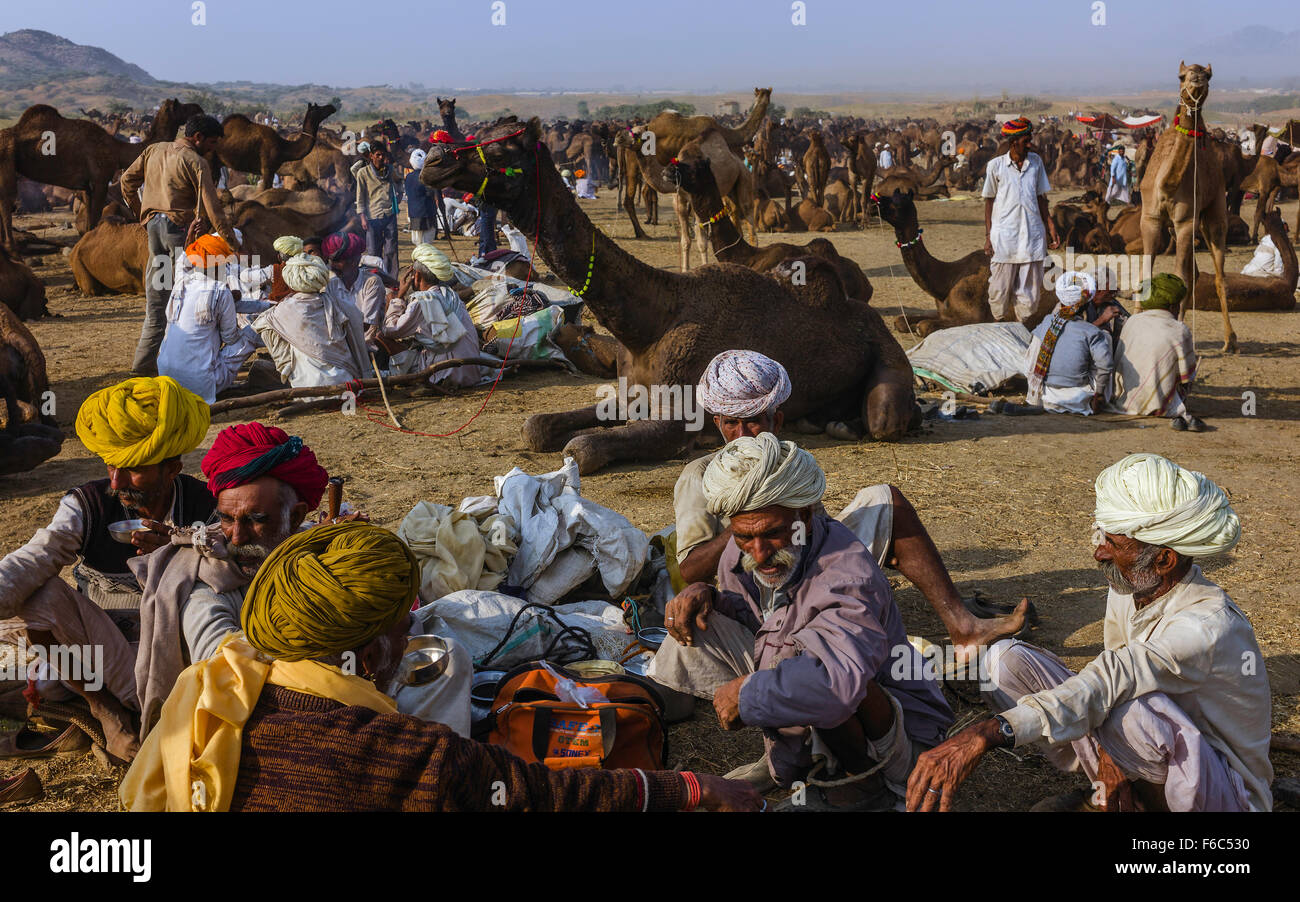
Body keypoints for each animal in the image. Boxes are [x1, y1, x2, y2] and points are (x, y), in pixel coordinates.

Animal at [423, 116, 915, 478]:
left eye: (503, 149)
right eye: (479, 135)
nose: (434, 159)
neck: (652, 319)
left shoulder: (677, 417)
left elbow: (581, 448)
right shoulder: (629, 393)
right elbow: (536, 426)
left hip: (885, 351)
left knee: (886, 420)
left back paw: (847, 423)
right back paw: (821, 419)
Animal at [1138, 62, 1237, 353]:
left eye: (1209, 75)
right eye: (1181, 76)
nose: (1197, 79)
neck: (1167, 183)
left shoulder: (1184, 222)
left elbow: (1179, 275)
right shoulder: (1151, 218)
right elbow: (1146, 270)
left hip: (1214, 213)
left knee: (1217, 275)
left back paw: (1230, 340)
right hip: (1185, 227)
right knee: (1194, 273)